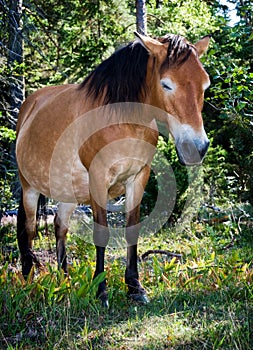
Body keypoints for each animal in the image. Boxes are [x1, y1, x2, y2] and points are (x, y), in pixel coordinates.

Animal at [14, 32, 211, 306]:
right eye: (166, 85)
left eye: (205, 85)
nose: (197, 148)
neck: (121, 120)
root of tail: (29, 106)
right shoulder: (98, 180)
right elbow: (101, 234)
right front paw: (101, 291)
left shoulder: (138, 178)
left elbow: (132, 231)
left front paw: (135, 288)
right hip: (29, 188)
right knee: (29, 230)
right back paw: (29, 281)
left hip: (68, 193)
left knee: (59, 227)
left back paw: (65, 280)